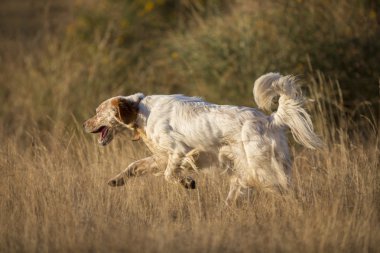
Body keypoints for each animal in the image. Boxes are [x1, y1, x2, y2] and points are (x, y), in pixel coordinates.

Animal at [84, 72, 324, 204]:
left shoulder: (178, 151)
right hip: (244, 172)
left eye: (98, 112)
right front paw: (117, 180)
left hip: (260, 168)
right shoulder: (162, 156)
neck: (142, 111)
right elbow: (134, 166)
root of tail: (270, 119)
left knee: (284, 191)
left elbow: (169, 175)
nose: (85, 124)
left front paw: (187, 182)